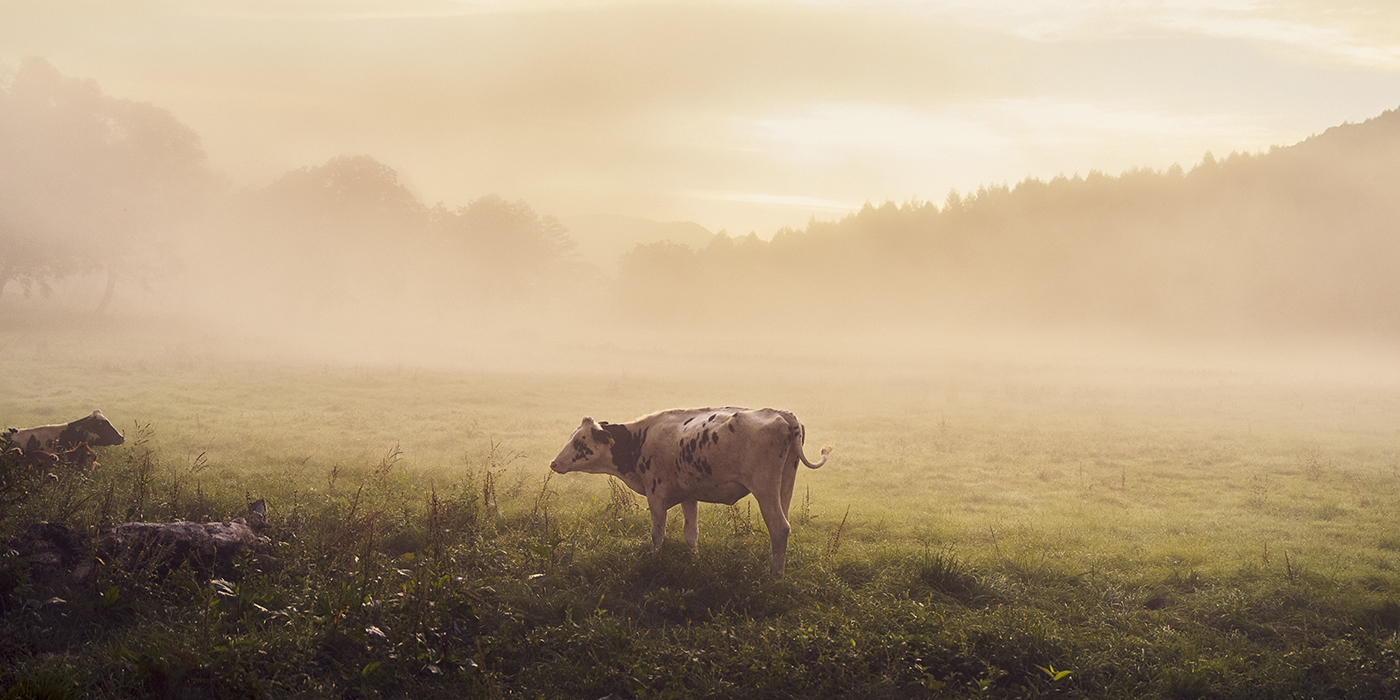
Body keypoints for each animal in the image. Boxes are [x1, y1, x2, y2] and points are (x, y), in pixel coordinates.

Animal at [548, 408, 828, 576]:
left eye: (580, 442)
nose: (554, 463)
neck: (642, 438)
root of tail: (784, 415)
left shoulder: (656, 495)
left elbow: (657, 534)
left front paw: (655, 561)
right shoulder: (689, 495)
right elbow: (690, 533)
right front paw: (694, 561)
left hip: (765, 488)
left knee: (779, 528)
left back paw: (775, 576)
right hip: (785, 485)